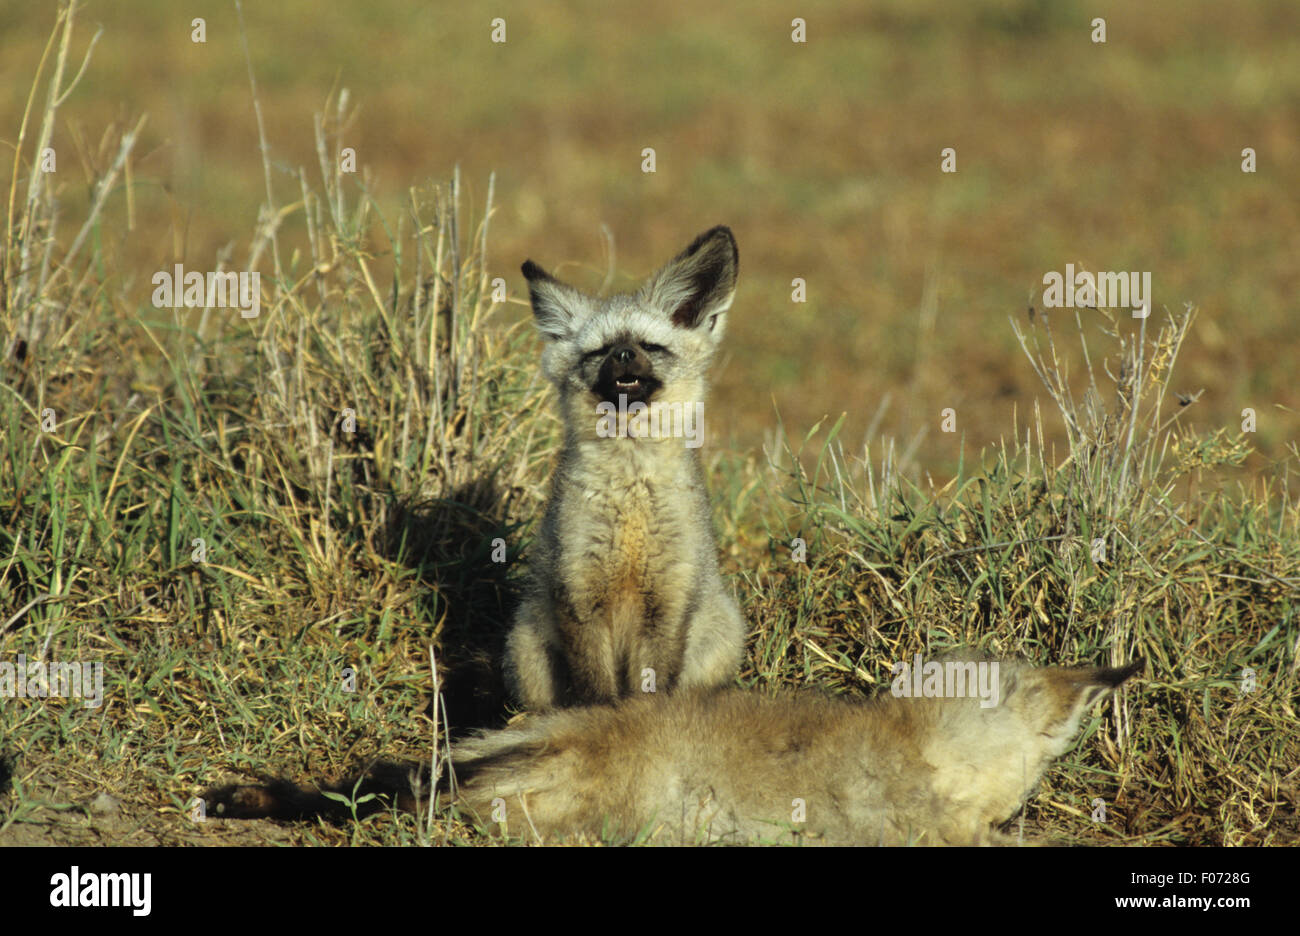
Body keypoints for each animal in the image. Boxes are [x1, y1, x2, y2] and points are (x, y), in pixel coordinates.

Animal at [501, 226, 748, 707]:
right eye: (599, 352)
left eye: (650, 346)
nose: (623, 357)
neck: (632, 495)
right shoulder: (579, 592)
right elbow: (595, 690)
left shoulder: (668, 600)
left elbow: (651, 686)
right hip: (525, 649)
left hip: (721, 630)